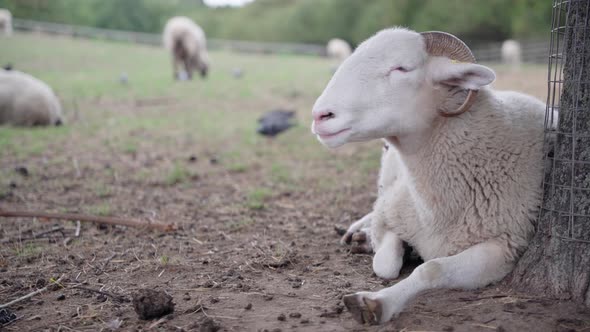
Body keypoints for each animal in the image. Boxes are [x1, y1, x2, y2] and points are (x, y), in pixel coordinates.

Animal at [312, 27, 548, 324]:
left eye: (402, 68)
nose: (320, 115)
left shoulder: (505, 246)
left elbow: (431, 269)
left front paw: (376, 303)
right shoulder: (391, 212)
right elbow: (385, 265)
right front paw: (384, 247)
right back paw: (357, 232)